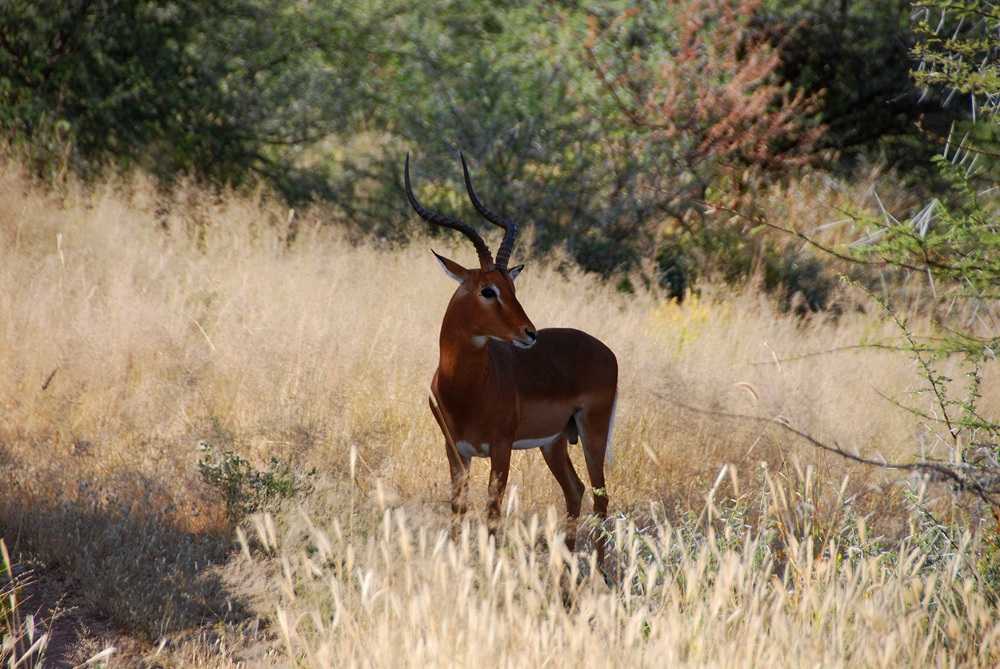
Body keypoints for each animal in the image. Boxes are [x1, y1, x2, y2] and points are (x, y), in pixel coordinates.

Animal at [405, 153, 619, 564]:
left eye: (513, 287)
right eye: (488, 290)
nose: (529, 333)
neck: (466, 387)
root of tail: (606, 350)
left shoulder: (501, 450)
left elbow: (492, 514)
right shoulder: (456, 450)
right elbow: (458, 509)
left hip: (592, 432)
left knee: (601, 499)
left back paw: (598, 573)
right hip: (555, 442)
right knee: (576, 491)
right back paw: (565, 571)